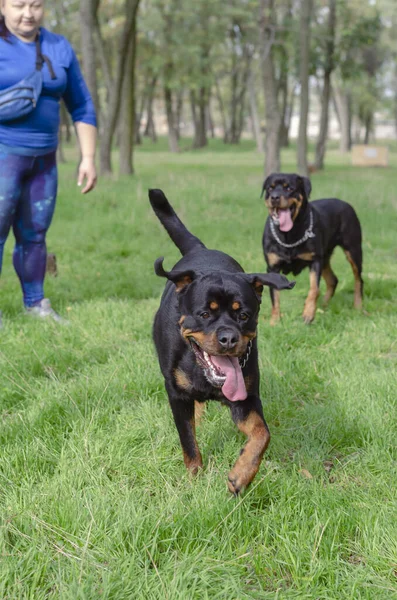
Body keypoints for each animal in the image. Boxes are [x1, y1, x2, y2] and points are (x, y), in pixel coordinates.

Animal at [149, 190, 294, 494]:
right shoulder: (176, 395)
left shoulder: (247, 396)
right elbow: (188, 442)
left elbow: (262, 433)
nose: (228, 338)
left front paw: (242, 474)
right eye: (205, 314)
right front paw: (194, 479)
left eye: (244, 315)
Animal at [260, 171, 362, 326]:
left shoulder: (315, 261)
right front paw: (275, 321)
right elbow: (274, 296)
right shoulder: (272, 267)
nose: (275, 197)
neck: (289, 235)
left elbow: (314, 289)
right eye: (270, 189)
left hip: (353, 250)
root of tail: (345, 204)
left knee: (358, 279)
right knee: (333, 280)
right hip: (325, 256)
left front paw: (308, 313)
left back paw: (358, 306)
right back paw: (324, 306)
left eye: (289, 188)